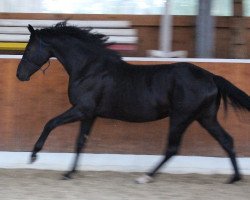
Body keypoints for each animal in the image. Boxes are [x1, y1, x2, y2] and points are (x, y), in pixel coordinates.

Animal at [16, 22, 249, 184]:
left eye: (29, 49)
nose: (20, 75)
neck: (89, 68)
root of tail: (211, 77)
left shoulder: (81, 110)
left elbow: (51, 123)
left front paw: (34, 155)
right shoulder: (89, 114)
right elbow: (80, 142)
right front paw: (69, 173)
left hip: (181, 117)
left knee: (172, 148)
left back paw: (145, 177)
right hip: (205, 117)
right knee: (227, 141)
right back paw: (234, 178)